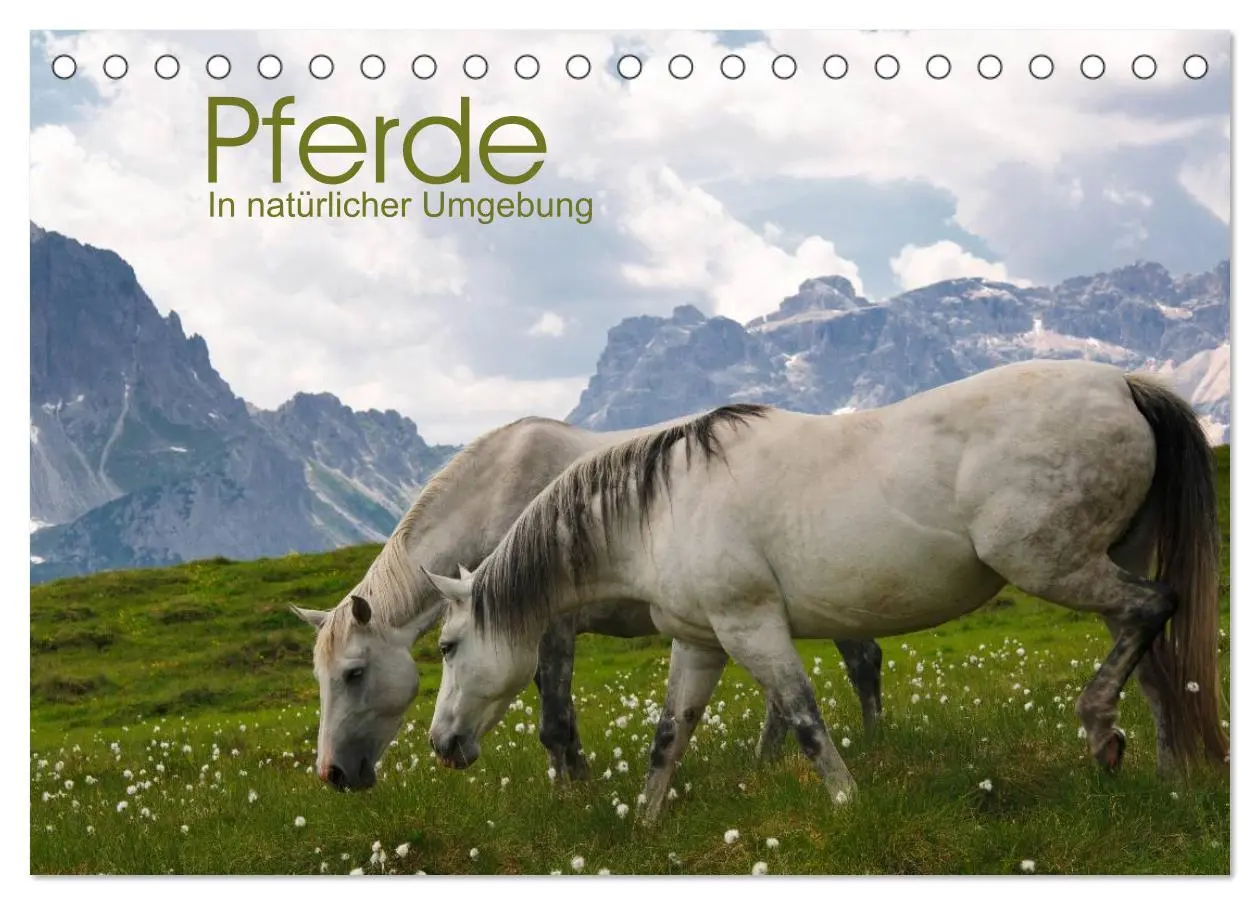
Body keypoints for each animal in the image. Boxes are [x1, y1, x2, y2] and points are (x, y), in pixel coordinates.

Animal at [289, 413, 885, 791]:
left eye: (354, 673)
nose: (332, 774)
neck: (503, 494)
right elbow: (565, 722)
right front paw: (578, 782)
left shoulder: (549, 630)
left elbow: (554, 722)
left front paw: (570, 797)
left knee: (861, 662)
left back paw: (874, 745)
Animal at [423, 359, 1229, 823]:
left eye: (450, 645)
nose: (441, 744)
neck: (661, 507)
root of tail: (1123, 385)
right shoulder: (701, 642)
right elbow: (668, 735)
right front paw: (644, 825)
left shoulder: (751, 626)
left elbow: (805, 717)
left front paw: (848, 804)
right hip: (1104, 558)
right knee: (1151, 656)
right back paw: (1164, 775)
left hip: (1052, 563)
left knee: (1155, 606)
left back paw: (1099, 729)